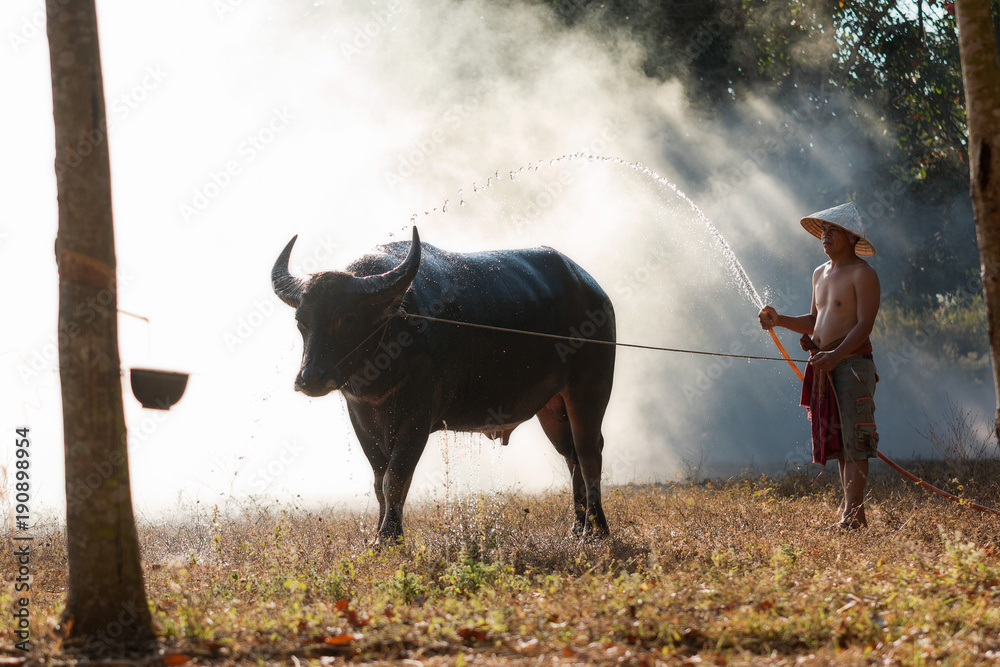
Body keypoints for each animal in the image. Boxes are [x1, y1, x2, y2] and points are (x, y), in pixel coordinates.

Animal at [272, 228, 616, 544]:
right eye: (302, 321)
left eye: (348, 318)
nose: (309, 378)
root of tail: (594, 290)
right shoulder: (361, 417)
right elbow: (379, 480)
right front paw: (379, 536)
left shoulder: (418, 418)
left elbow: (395, 478)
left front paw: (389, 538)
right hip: (552, 406)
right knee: (571, 456)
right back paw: (578, 527)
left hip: (589, 389)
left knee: (588, 452)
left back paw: (596, 530)